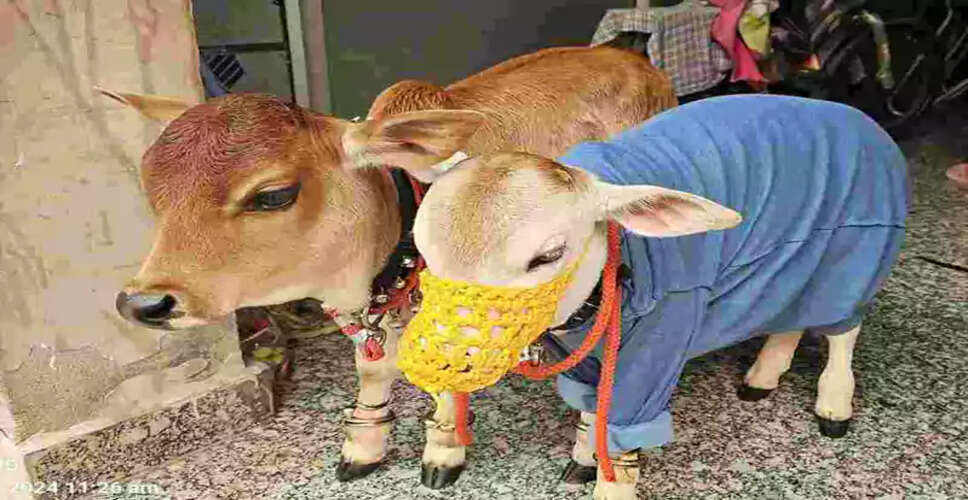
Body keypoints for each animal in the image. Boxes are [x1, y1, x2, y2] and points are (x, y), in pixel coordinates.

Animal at [101, 45, 677, 488]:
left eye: (273, 195)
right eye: (152, 189)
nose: (144, 302)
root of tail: (632, 57)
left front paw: (443, 451)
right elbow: (372, 369)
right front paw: (364, 446)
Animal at [395, 95, 910, 499]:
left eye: (549, 255)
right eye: (421, 249)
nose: (440, 361)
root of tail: (862, 120)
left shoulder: (657, 348)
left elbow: (623, 435)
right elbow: (591, 406)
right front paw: (583, 456)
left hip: (857, 249)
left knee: (843, 330)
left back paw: (834, 406)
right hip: (795, 260)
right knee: (792, 315)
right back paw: (763, 377)